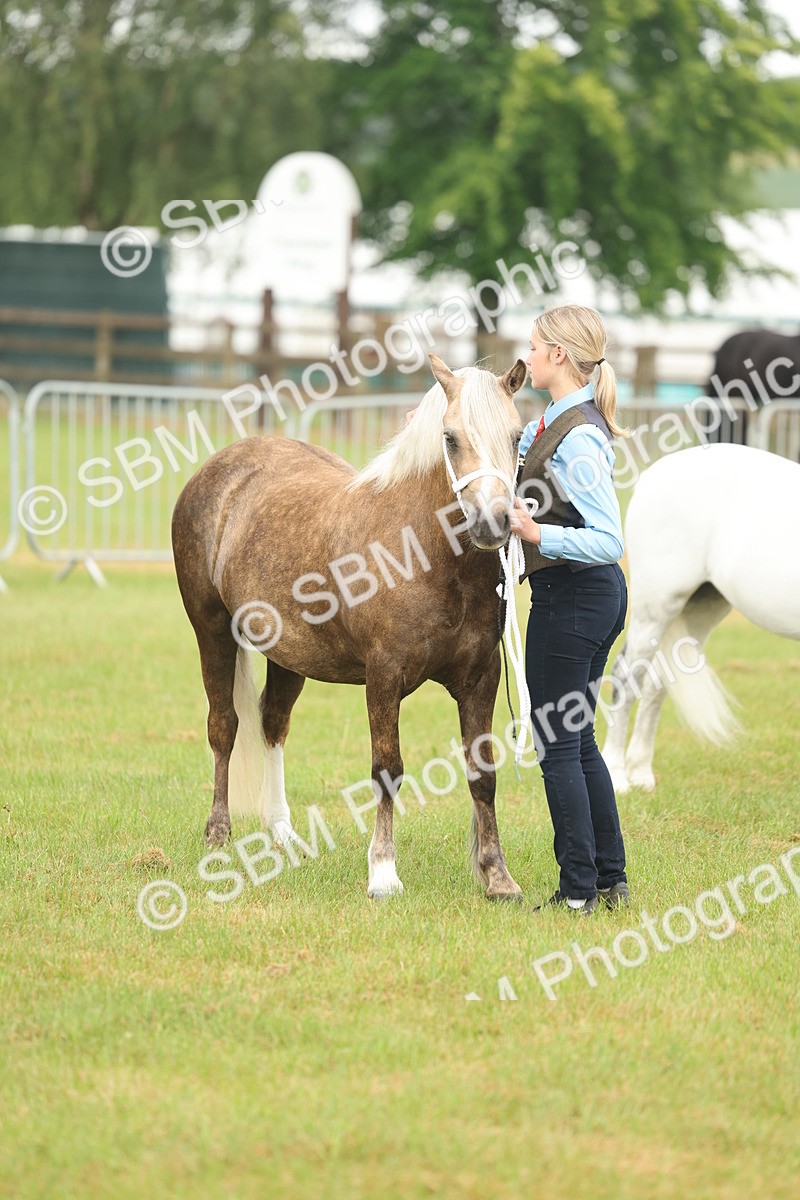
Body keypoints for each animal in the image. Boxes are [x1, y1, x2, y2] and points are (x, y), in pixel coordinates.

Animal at [172, 354, 528, 900]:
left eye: (516, 436)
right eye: (450, 438)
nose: (492, 523)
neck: (422, 552)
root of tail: (217, 471)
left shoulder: (480, 679)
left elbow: (481, 774)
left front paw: (497, 876)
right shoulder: (383, 677)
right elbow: (387, 770)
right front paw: (382, 872)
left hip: (287, 653)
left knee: (272, 723)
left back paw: (284, 834)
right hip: (210, 631)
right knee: (224, 727)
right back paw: (218, 832)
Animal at [601, 442, 800, 793]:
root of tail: (653, 475)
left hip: (701, 607)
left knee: (656, 685)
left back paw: (641, 773)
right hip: (657, 606)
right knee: (627, 678)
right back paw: (616, 775)